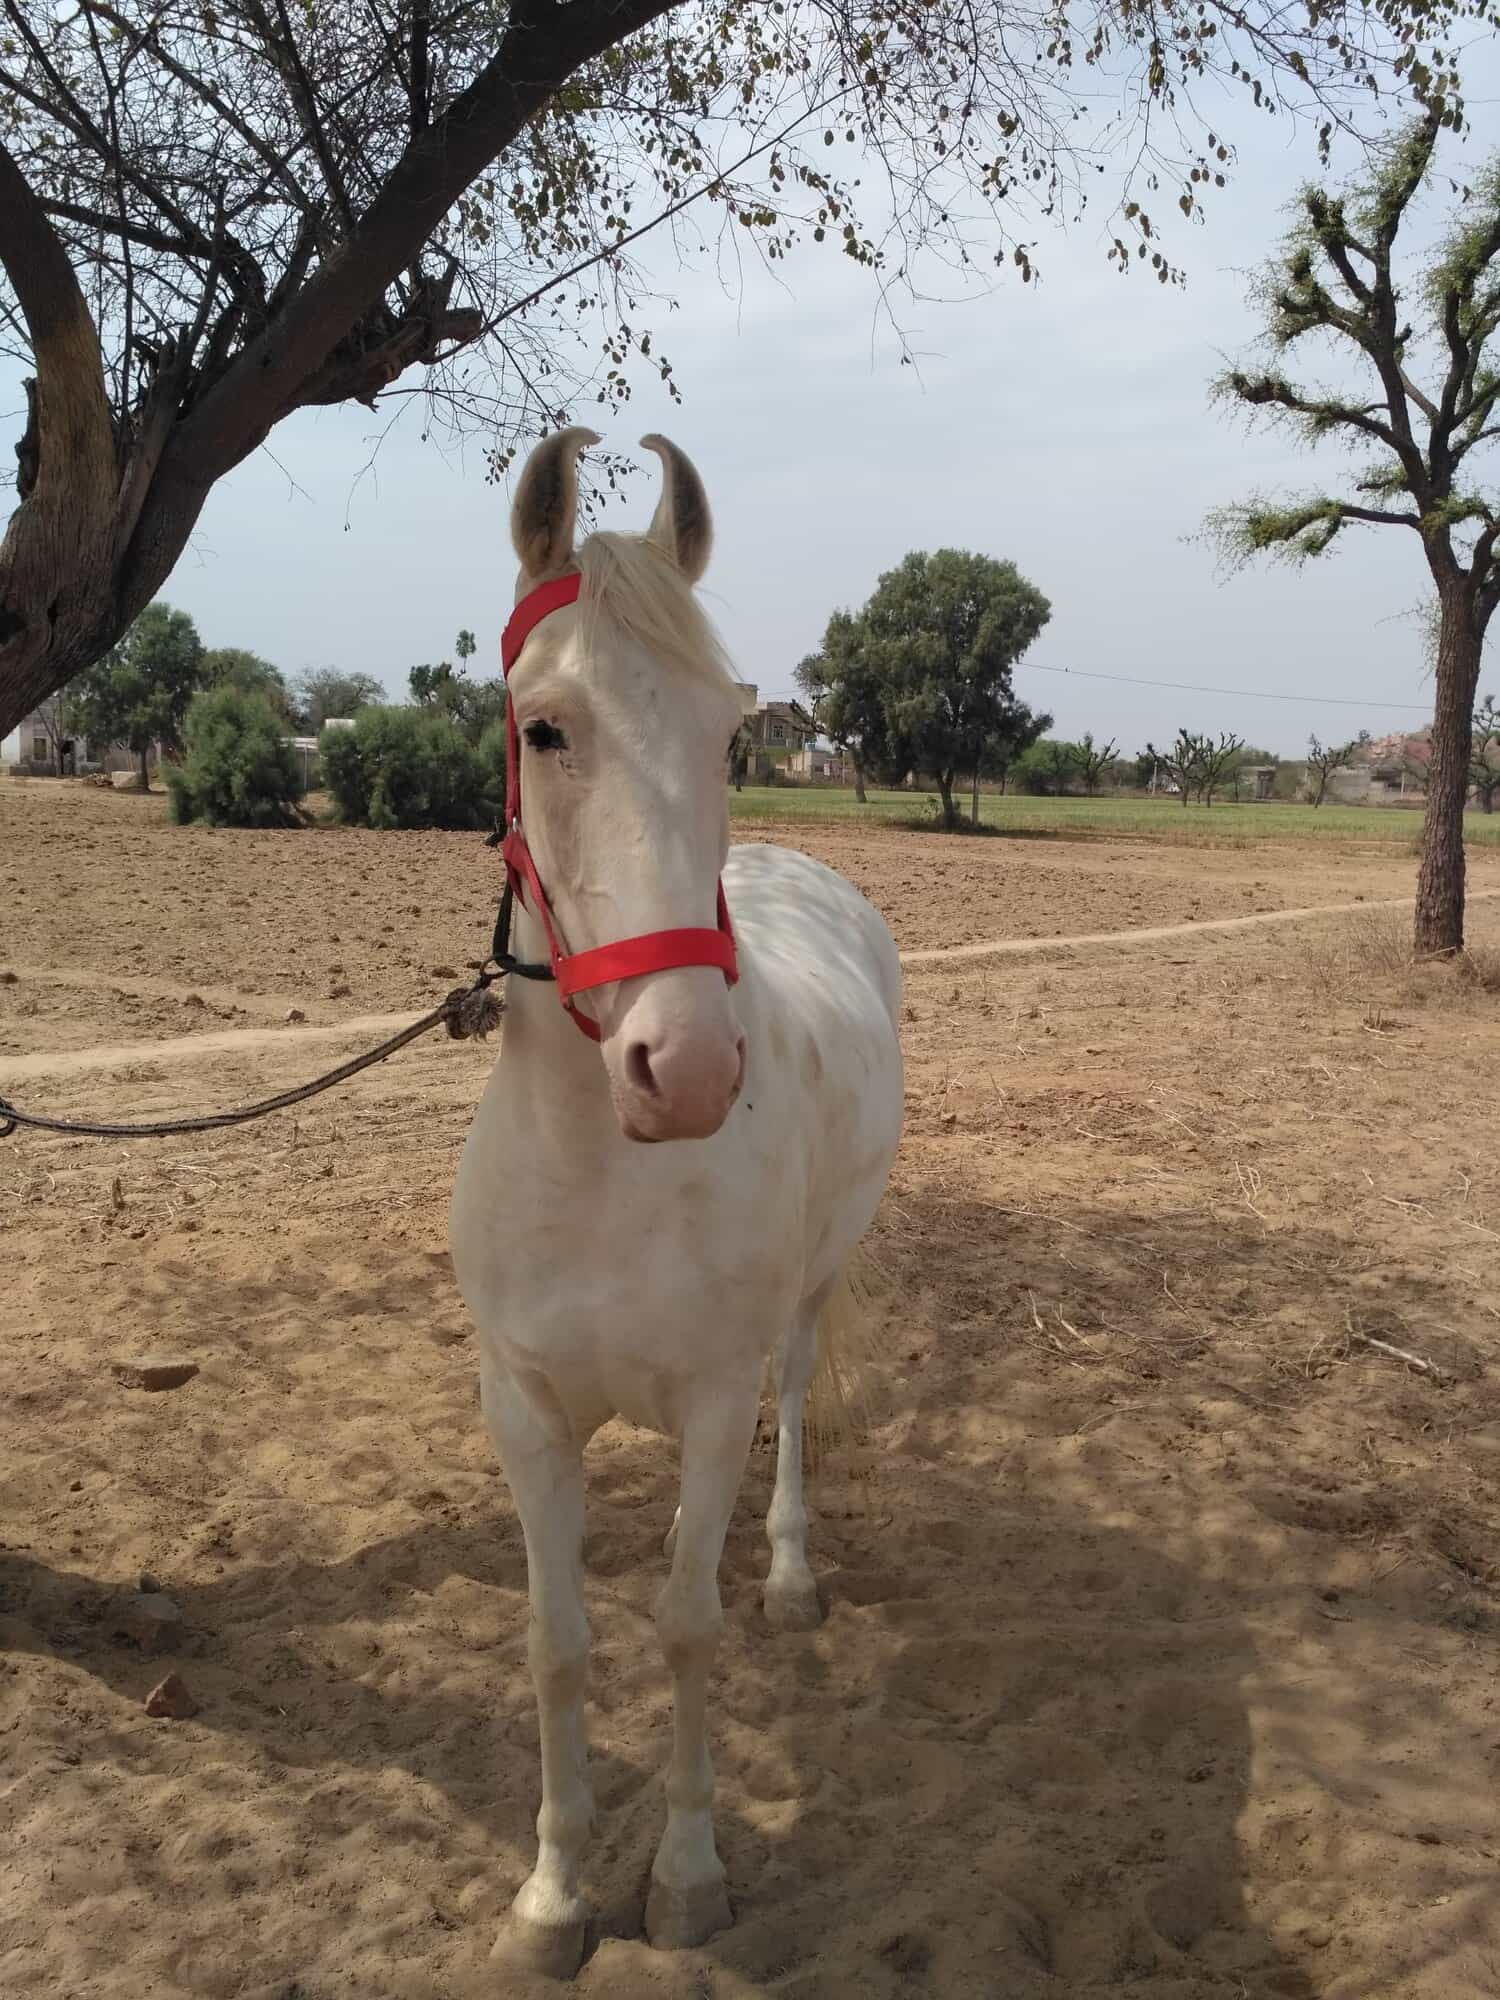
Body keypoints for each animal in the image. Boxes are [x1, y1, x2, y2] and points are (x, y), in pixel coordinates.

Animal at [449, 427, 904, 1977]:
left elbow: (690, 1625)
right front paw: (550, 1895)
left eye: (727, 737)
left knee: (795, 1409)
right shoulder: (526, 1410)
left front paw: (690, 1876)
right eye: (543, 729)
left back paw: (792, 1572)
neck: (604, 1174)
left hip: (808, 1304)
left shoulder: (711, 1398)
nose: (688, 1068)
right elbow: (559, 1642)